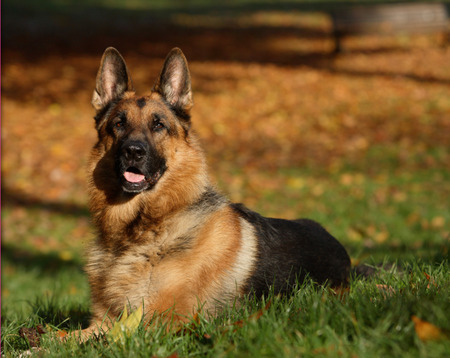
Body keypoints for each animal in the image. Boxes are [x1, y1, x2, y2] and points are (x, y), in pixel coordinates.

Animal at [83, 47, 352, 338]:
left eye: (158, 125)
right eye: (119, 124)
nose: (133, 151)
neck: (145, 227)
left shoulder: (159, 321)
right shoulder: (103, 319)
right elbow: (68, 335)